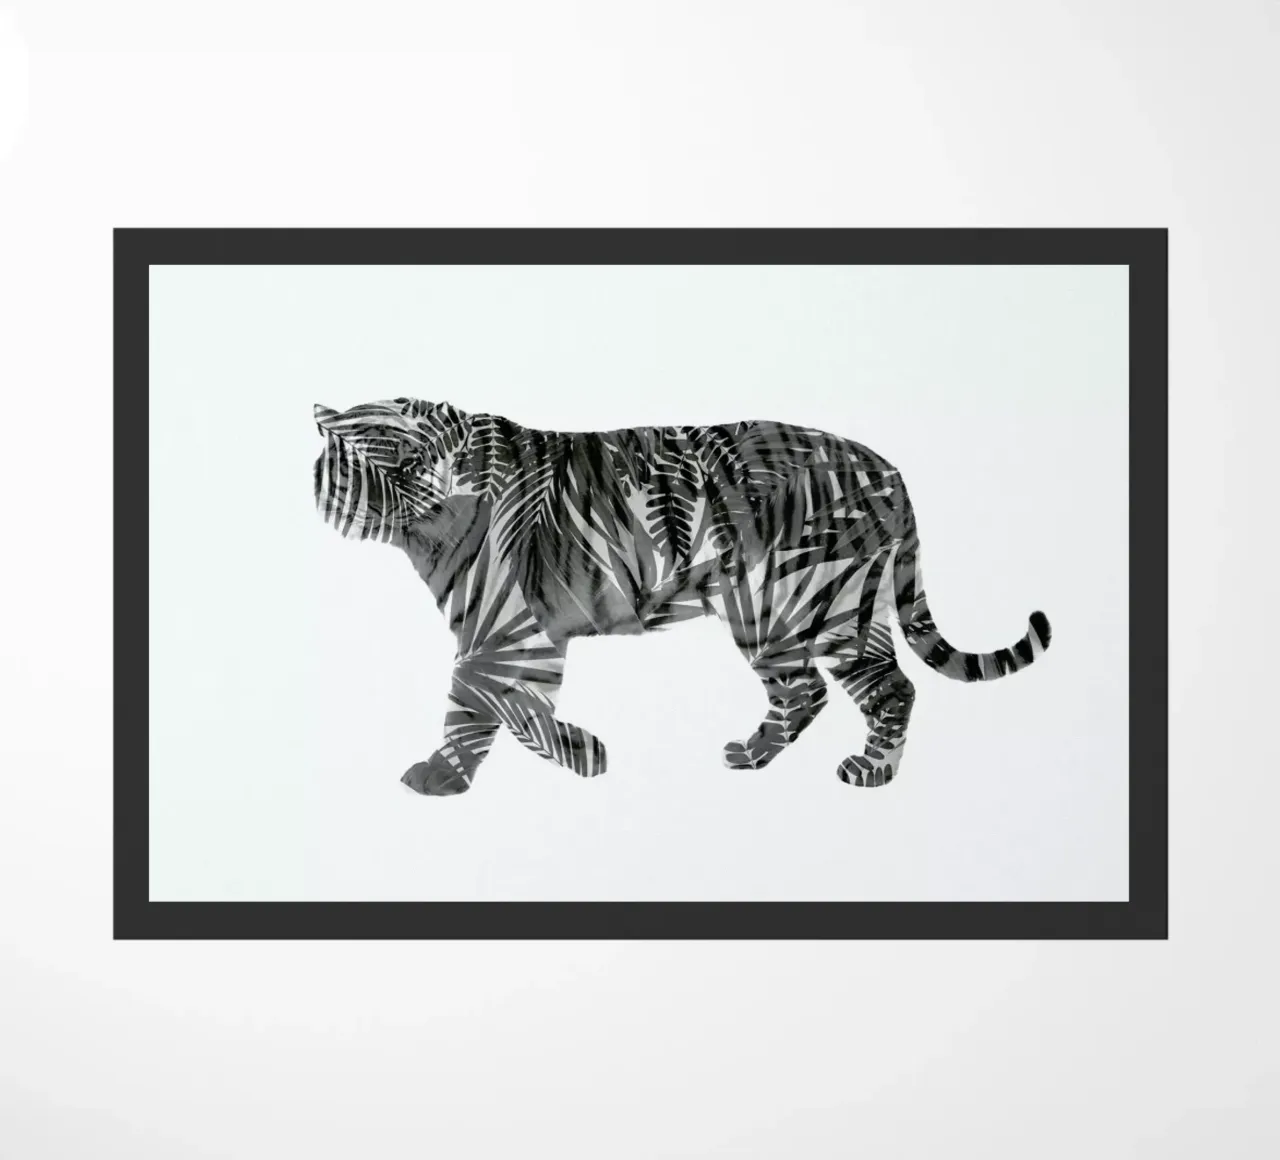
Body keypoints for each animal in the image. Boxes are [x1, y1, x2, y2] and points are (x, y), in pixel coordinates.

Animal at [313, 398, 1051, 795]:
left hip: (804, 603)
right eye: (388, 462)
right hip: (807, 614)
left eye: (424, 458)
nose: (433, 494)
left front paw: (464, 775)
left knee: (864, 689)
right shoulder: (508, 635)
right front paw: (567, 756)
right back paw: (774, 758)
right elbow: (498, 706)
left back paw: (857, 770)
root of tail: (887, 465)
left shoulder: (506, 629)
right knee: (828, 690)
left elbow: (483, 703)